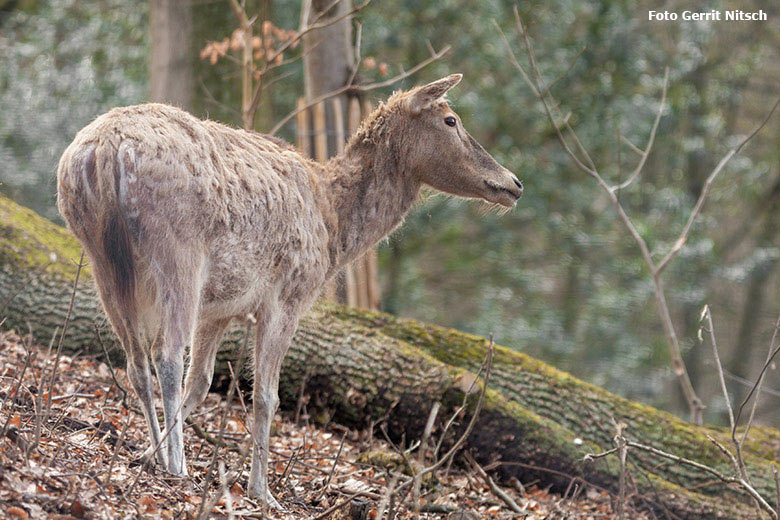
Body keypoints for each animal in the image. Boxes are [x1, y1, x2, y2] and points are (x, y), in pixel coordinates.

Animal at [56, 74, 524, 508]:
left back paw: (160, 455)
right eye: (451, 119)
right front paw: (262, 492)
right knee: (166, 357)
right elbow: (266, 395)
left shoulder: (220, 307)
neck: (333, 228)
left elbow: (202, 382)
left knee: (136, 362)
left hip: (101, 257)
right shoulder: (288, 295)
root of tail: (104, 150)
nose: (514, 183)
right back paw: (179, 466)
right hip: (178, 251)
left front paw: (145, 454)